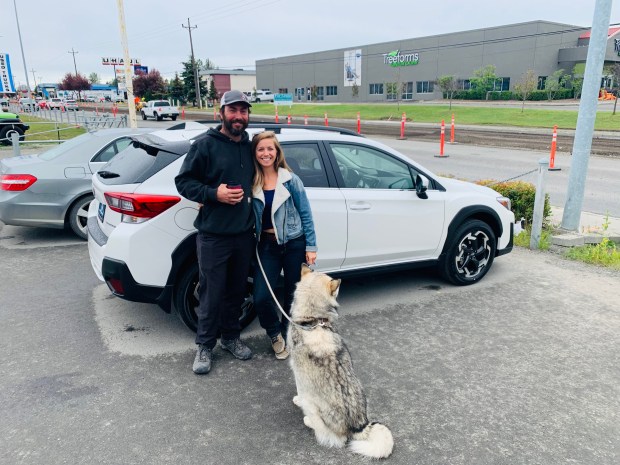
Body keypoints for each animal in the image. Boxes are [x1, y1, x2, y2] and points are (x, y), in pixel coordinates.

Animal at [287, 264, 394, 459]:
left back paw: (307, 420)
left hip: (313, 407)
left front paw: (297, 399)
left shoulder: (297, 371)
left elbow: (299, 389)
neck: (313, 320)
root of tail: (358, 426)